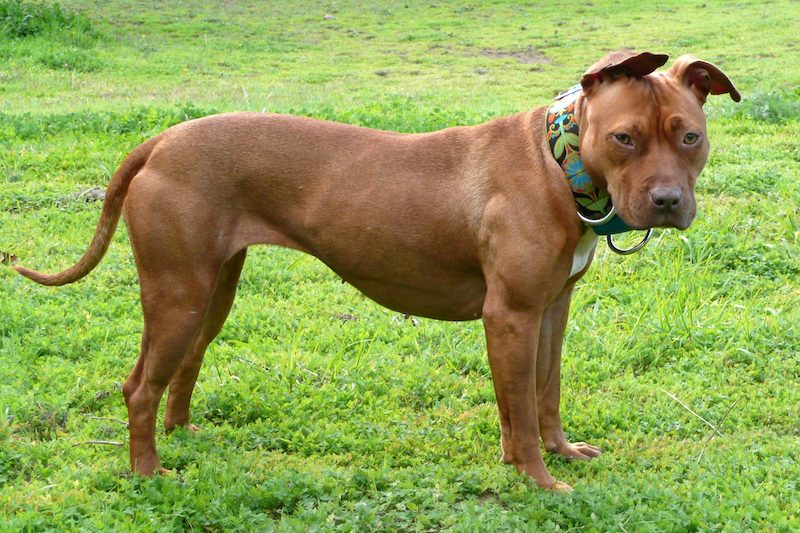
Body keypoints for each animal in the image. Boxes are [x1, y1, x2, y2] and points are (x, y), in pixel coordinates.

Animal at [14, 52, 736, 488]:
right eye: (624, 138)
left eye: (690, 136)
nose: (668, 201)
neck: (559, 163)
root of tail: (161, 139)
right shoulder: (510, 316)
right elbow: (522, 411)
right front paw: (537, 479)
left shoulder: (550, 311)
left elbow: (544, 394)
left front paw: (558, 453)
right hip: (177, 293)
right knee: (139, 385)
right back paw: (149, 474)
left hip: (211, 292)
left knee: (183, 367)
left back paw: (185, 436)